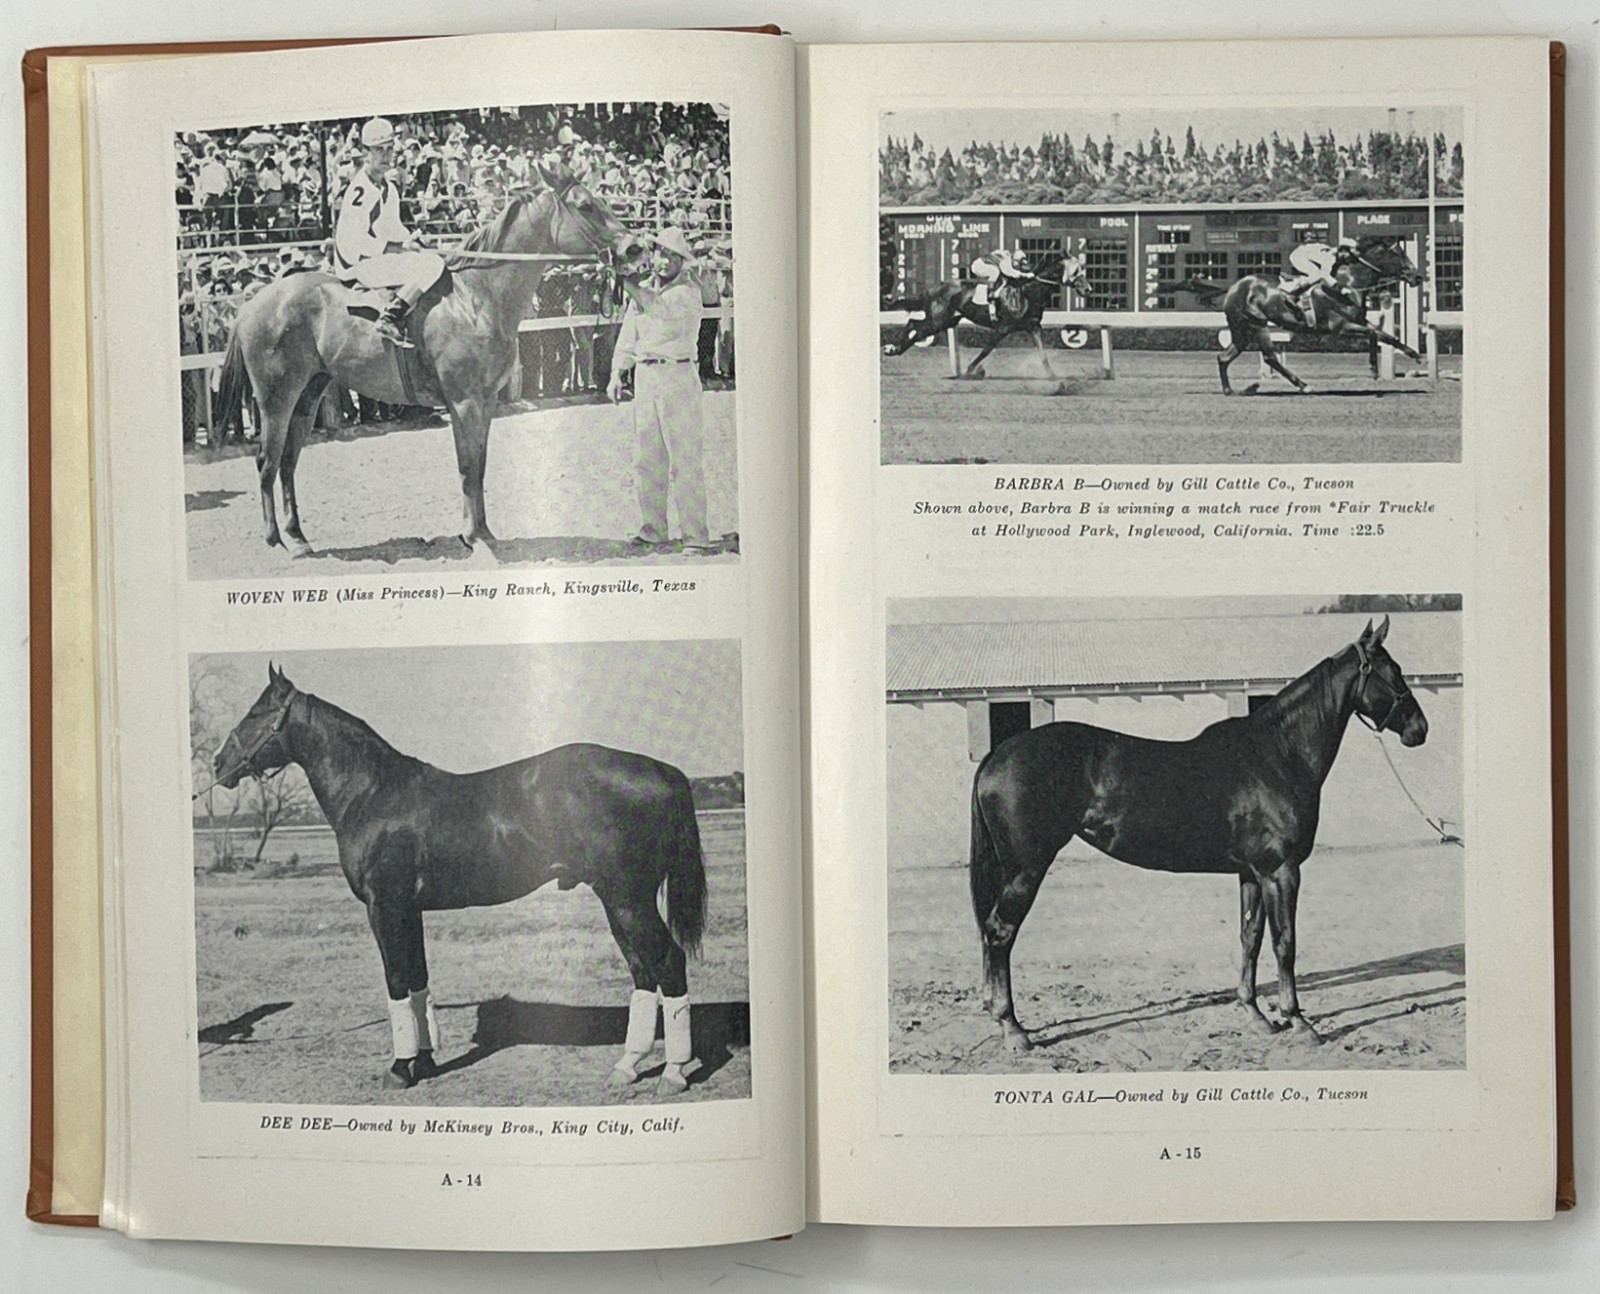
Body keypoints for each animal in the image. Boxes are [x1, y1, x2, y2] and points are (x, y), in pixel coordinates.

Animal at [210, 664, 708, 1097]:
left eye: (256, 712)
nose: (218, 764)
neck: (373, 791)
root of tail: (664, 771)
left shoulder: (383, 907)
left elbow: (396, 981)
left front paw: (399, 1069)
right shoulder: (408, 910)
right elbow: (417, 978)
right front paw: (425, 1062)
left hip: (628, 899)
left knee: (669, 963)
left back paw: (674, 1073)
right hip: (617, 901)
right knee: (643, 972)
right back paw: (627, 1067)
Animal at [213, 162, 634, 558]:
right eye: (586, 205)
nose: (634, 246)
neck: (475, 298)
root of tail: (253, 302)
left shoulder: (486, 401)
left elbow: (480, 465)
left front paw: (483, 531)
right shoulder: (464, 402)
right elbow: (468, 467)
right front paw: (471, 536)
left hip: (307, 395)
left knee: (287, 463)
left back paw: (298, 537)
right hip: (276, 400)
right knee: (266, 462)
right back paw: (274, 539)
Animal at [882, 252, 1092, 377]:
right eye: (1076, 271)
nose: (1089, 289)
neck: (1028, 292)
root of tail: (932, 288)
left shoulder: (1033, 326)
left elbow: (1042, 353)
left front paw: (1054, 379)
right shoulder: (1003, 328)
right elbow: (987, 349)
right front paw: (970, 371)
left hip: (947, 320)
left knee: (915, 327)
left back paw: (894, 349)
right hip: (937, 319)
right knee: (913, 324)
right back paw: (892, 349)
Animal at [968, 617, 1428, 1053]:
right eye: (1393, 671)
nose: (1419, 729)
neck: (1277, 755)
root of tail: (997, 754)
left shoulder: (1252, 873)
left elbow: (1250, 937)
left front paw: (1256, 1015)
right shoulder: (1281, 871)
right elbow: (1285, 943)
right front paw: (1298, 1021)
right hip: (1027, 868)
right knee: (1000, 931)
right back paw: (1013, 1028)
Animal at [1182, 235, 1425, 395]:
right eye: (1398, 254)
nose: (1418, 276)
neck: (1351, 281)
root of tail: (1233, 287)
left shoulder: (1359, 322)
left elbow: (1383, 336)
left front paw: (1409, 356)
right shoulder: (1341, 327)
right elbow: (1376, 335)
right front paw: (1378, 368)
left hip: (1242, 331)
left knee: (1224, 358)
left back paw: (1231, 390)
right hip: (1255, 325)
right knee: (1270, 357)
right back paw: (1303, 385)